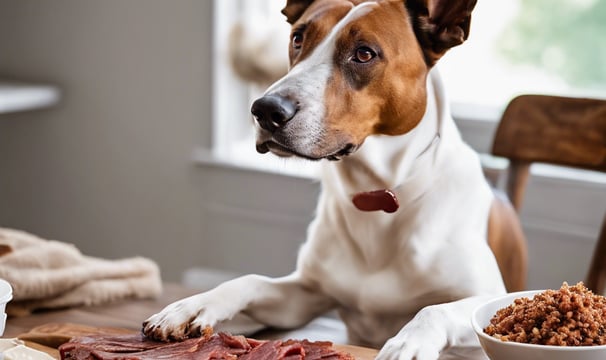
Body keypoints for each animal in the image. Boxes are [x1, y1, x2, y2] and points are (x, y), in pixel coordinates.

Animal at [141, 1, 528, 358]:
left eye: (364, 53)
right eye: (298, 38)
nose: (266, 110)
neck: (376, 193)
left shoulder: (489, 296)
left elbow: (434, 310)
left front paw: (407, 343)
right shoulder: (305, 294)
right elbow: (248, 281)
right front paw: (191, 305)